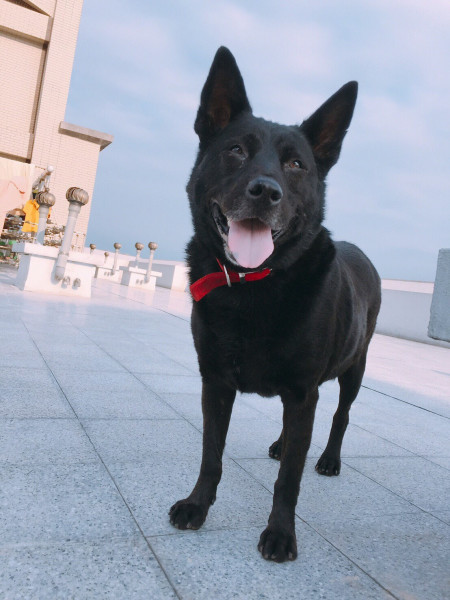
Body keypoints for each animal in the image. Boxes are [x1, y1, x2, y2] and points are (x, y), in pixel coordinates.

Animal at [169, 47, 380, 564]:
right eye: (236, 151)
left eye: (297, 164)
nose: (265, 191)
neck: (252, 284)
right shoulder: (215, 382)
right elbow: (211, 454)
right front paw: (197, 505)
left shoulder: (304, 392)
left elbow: (289, 482)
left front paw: (281, 533)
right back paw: (285, 445)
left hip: (354, 367)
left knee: (340, 416)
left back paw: (328, 458)